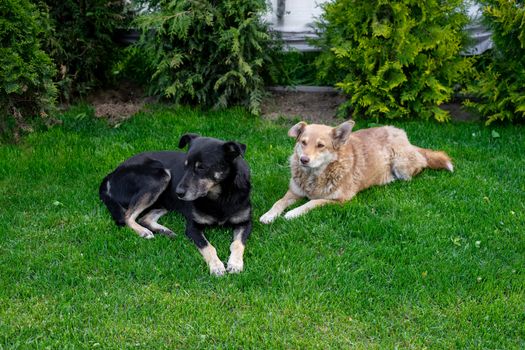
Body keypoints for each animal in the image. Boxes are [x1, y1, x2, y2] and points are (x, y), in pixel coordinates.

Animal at [101, 135, 254, 276]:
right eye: (185, 166)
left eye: (202, 167)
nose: (178, 192)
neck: (220, 196)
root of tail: (111, 174)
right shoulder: (192, 227)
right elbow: (208, 247)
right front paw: (216, 266)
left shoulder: (245, 222)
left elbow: (237, 244)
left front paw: (235, 264)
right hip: (160, 176)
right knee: (128, 216)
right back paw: (143, 231)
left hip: (164, 200)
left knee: (144, 218)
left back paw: (164, 230)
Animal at [260, 120, 452, 223]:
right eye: (303, 142)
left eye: (320, 145)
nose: (303, 160)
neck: (315, 176)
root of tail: (405, 137)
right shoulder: (294, 192)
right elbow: (278, 202)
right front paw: (269, 215)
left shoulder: (340, 200)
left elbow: (312, 203)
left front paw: (293, 213)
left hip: (402, 166)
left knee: (420, 166)